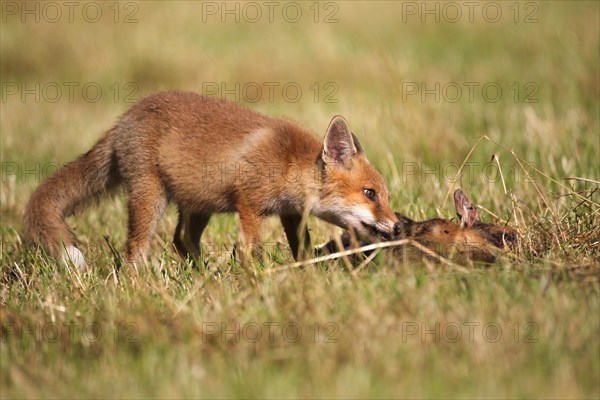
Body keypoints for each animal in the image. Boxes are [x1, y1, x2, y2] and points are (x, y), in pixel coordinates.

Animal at [22, 90, 398, 268]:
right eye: (370, 194)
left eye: (385, 196)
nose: (396, 225)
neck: (288, 162)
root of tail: (123, 121)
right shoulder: (249, 204)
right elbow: (251, 249)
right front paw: (256, 276)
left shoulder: (290, 213)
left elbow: (301, 246)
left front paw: (305, 270)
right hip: (150, 198)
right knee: (134, 252)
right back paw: (139, 284)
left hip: (197, 206)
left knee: (181, 240)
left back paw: (201, 274)